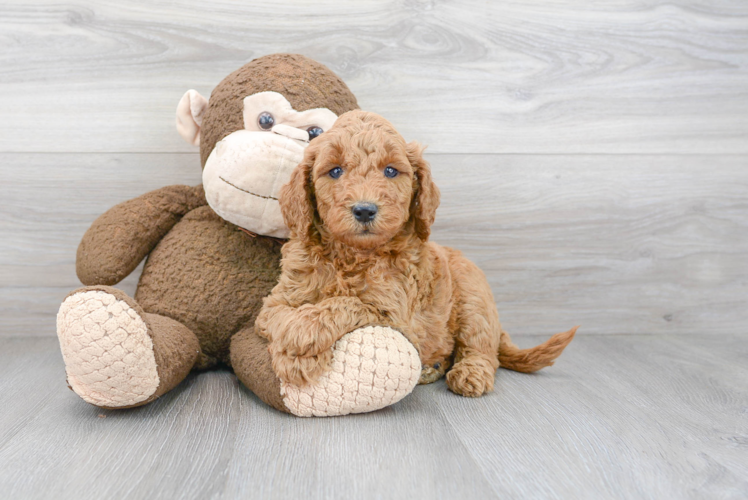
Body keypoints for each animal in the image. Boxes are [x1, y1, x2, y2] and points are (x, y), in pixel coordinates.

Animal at [254, 110, 576, 398]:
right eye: (334, 171)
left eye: (390, 171)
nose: (364, 210)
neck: (352, 255)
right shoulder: (277, 300)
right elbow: (280, 317)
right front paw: (293, 354)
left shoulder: (395, 314)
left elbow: (345, 303)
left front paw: (303, 337)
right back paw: (432, 368)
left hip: (474, 299)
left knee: (482, 349)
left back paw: (470, 374)